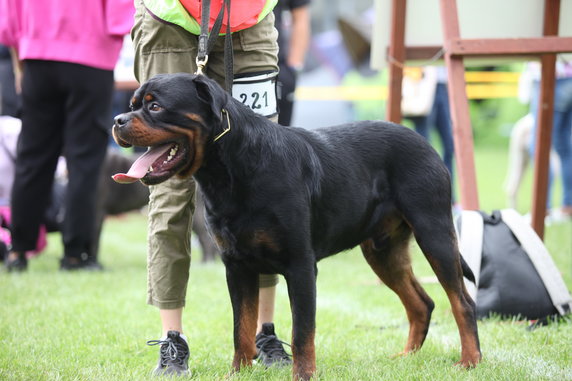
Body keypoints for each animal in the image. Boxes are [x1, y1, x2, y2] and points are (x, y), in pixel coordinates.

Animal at [113, 72, 482, 378]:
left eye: (156, 106)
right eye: (133, 105)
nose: (117, 120)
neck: (231, 170)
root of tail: (425, 143)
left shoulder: (300, 265)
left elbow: (302, 330)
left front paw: (303, 374)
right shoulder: (236, 265)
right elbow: (241, 327)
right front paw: (238, 373)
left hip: (433, 230)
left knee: (461, 300)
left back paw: (470, 361)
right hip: (382, 249)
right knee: (422, 303)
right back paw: (406, 358)